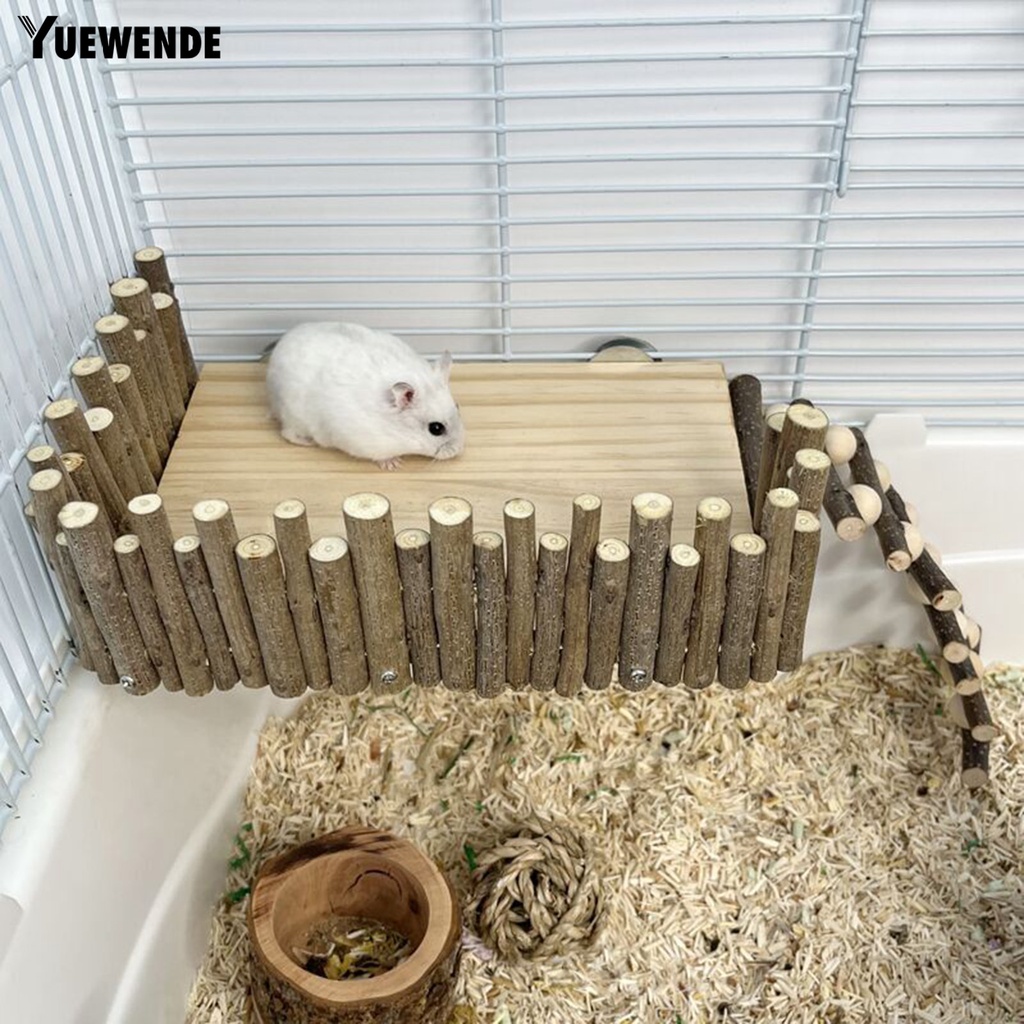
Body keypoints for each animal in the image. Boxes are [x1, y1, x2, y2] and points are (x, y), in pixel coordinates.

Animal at [266, 322, 465, 470]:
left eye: (458, 407)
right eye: (436, 429)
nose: (457, 450)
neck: (395, 428)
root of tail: (281, 342)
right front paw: (393, 464)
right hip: (294, 417)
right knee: (287, 434)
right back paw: (308, 442)